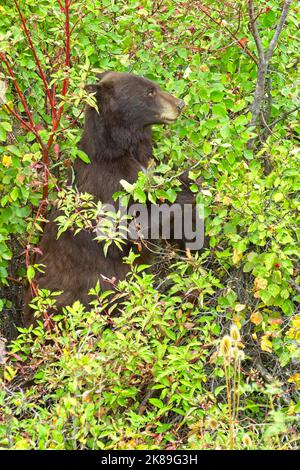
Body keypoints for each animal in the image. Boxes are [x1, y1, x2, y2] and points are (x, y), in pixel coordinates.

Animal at [23, 71, 189, 326]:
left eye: (155, 87)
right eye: (149, 91)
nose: (180, 104)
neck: (120, 148)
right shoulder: (112, 186)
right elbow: (130, 231)